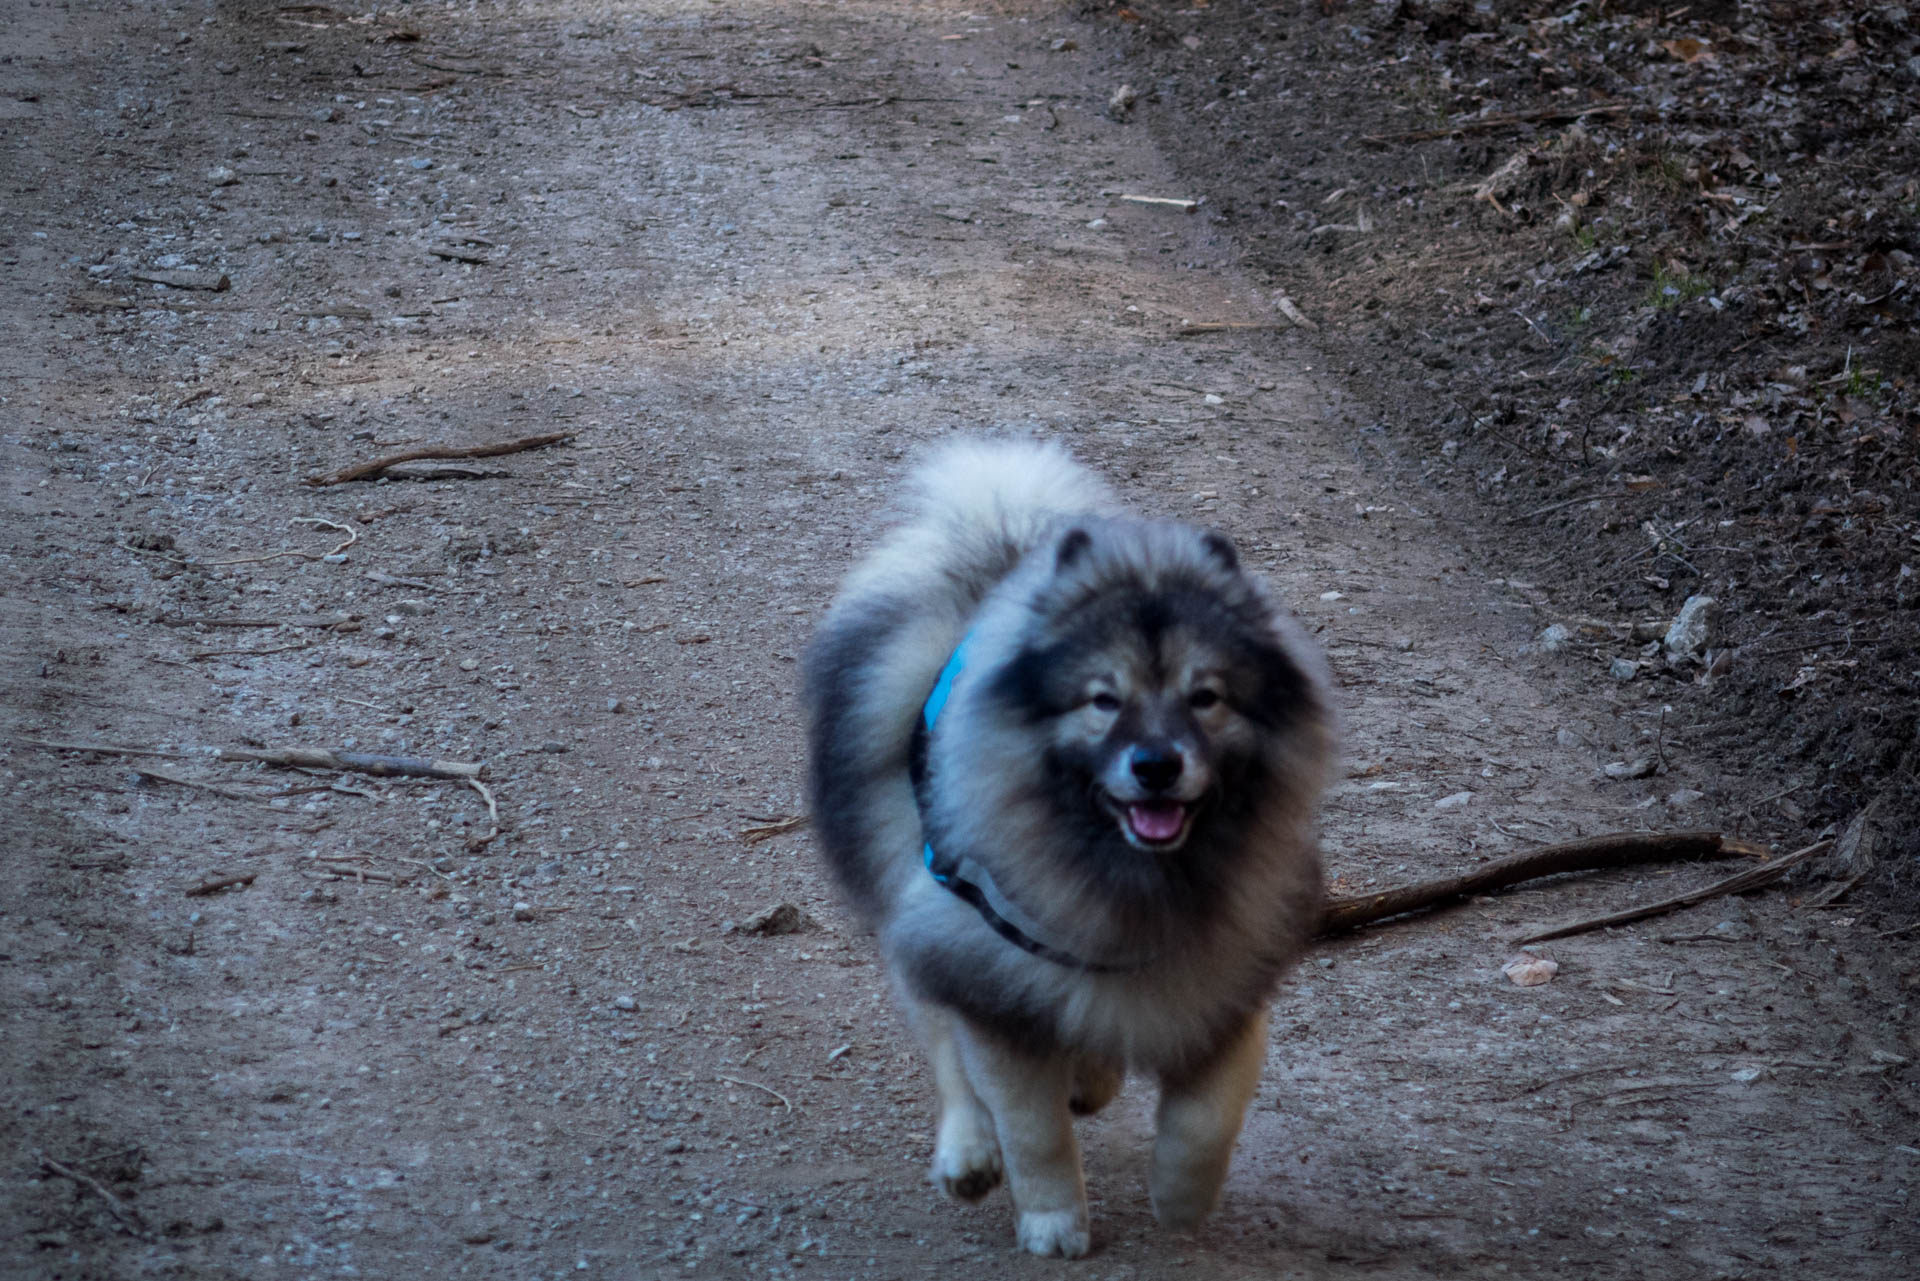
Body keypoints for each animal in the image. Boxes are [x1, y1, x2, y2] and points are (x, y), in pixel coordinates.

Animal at [802, 441, 1328, 1259]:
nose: (1156, 765)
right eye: (1103, 700)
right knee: (944, 1041)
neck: (1133, 873)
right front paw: (1053, 1221)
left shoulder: (1228, 984)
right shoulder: (991, 984)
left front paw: (1180, 1201)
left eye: (1205, 697)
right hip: (917, 892)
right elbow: (1031, 1126)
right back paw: (969, 1151)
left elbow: (1207, 1118)